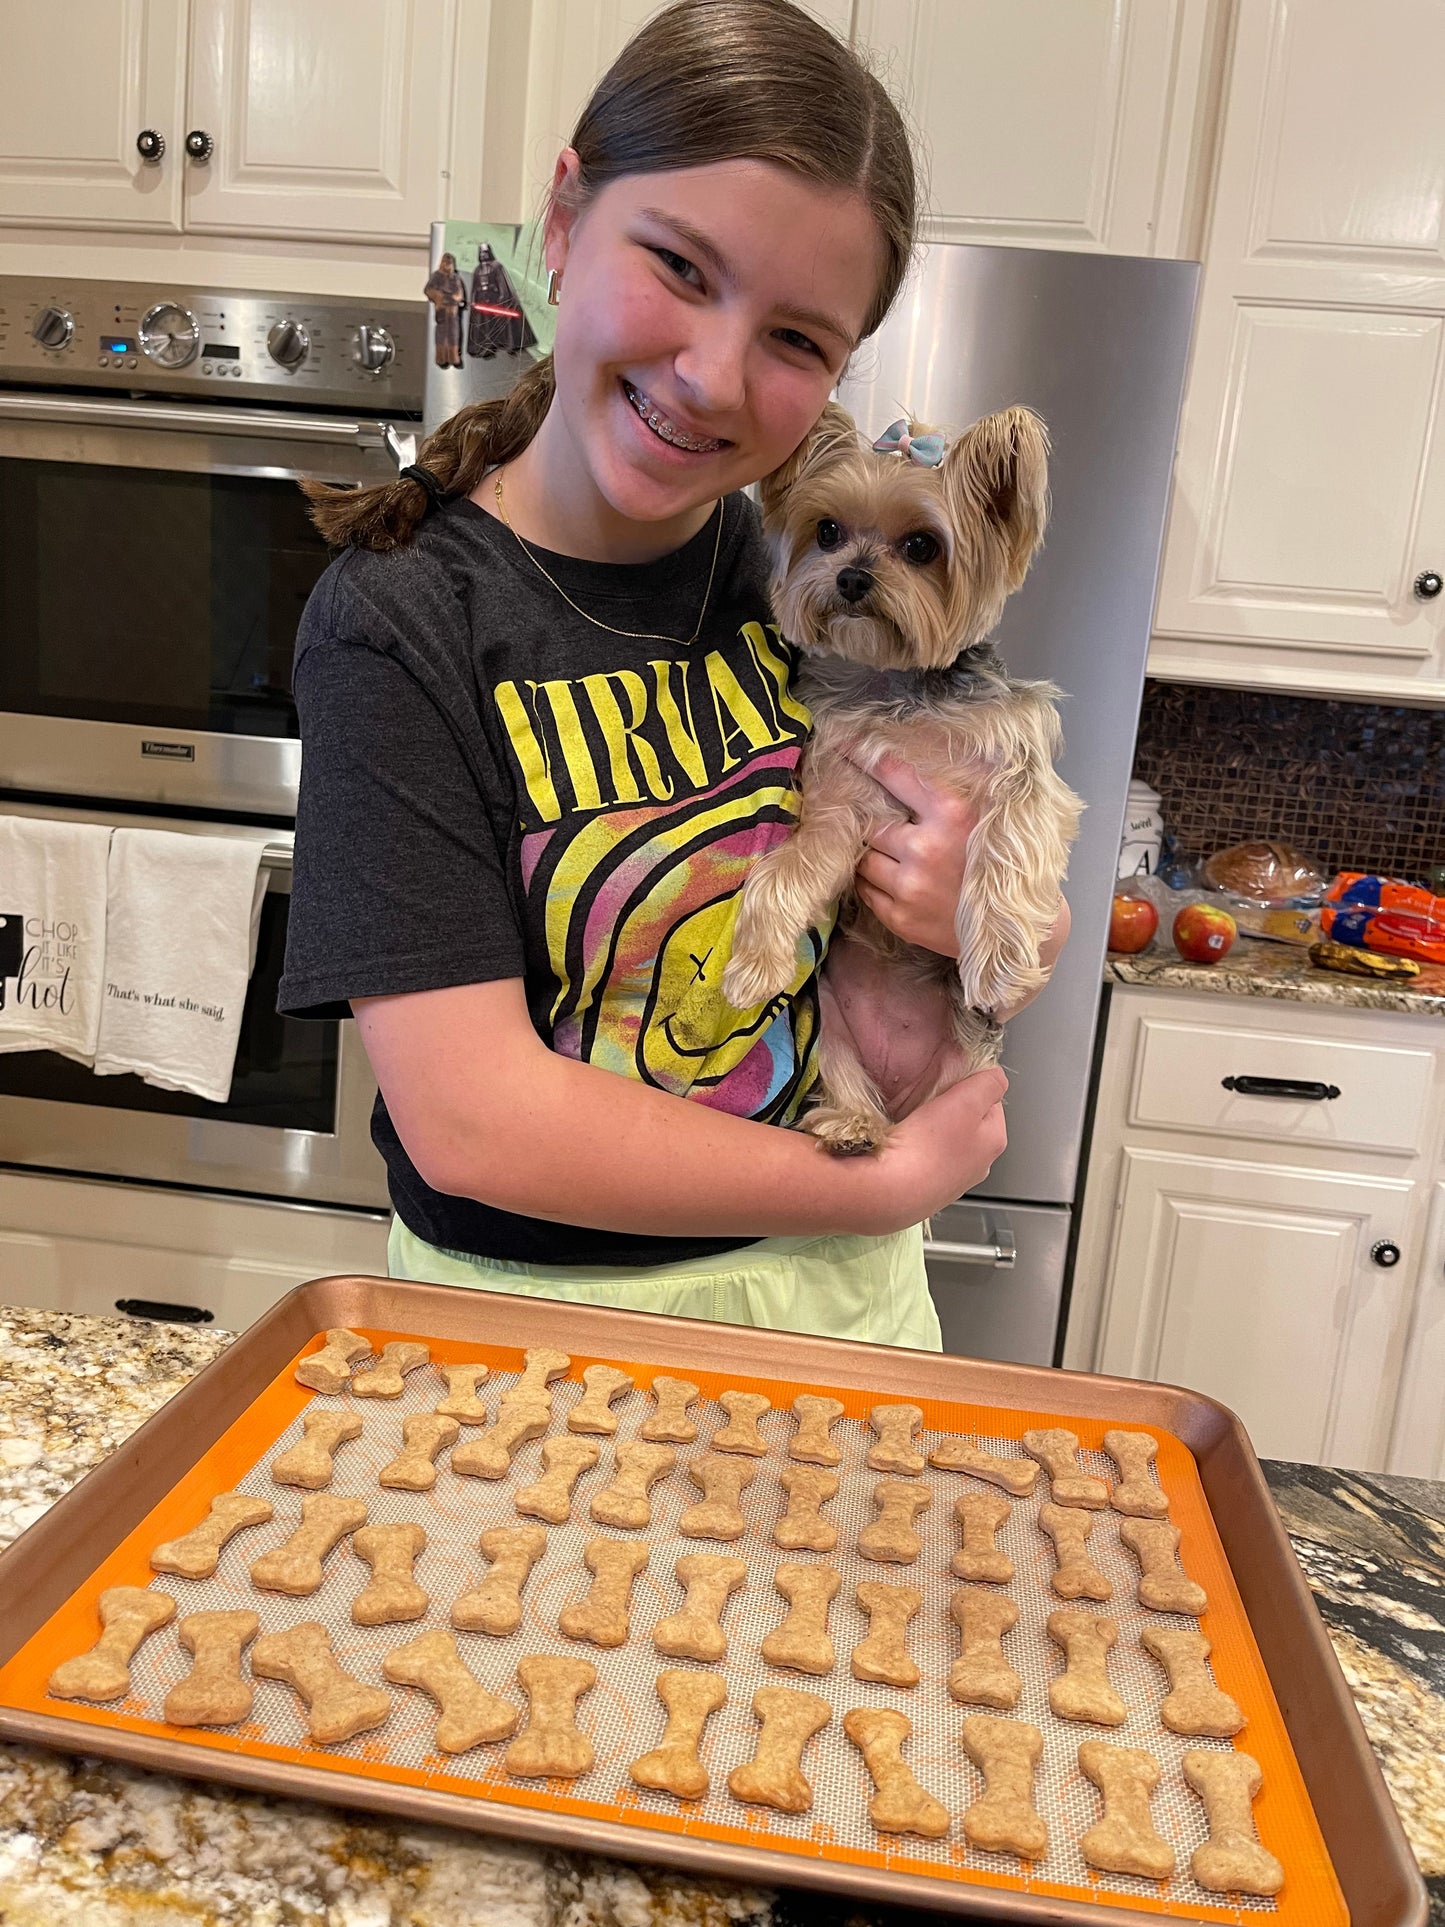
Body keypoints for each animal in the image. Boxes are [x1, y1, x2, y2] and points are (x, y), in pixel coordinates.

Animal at [724, 400, 1086, 1148]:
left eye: (921, 546)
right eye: (827, 530)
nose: (851, 578)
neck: (894, 686)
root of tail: (900, 1098)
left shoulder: (1026, 766)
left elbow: (1008, 841)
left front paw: (999, 965)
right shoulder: (839, 799)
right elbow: (783, 870)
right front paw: (751, 967)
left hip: (968, 1071)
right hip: (827, 1027)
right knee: (846, 1078)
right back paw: (853, 1125)